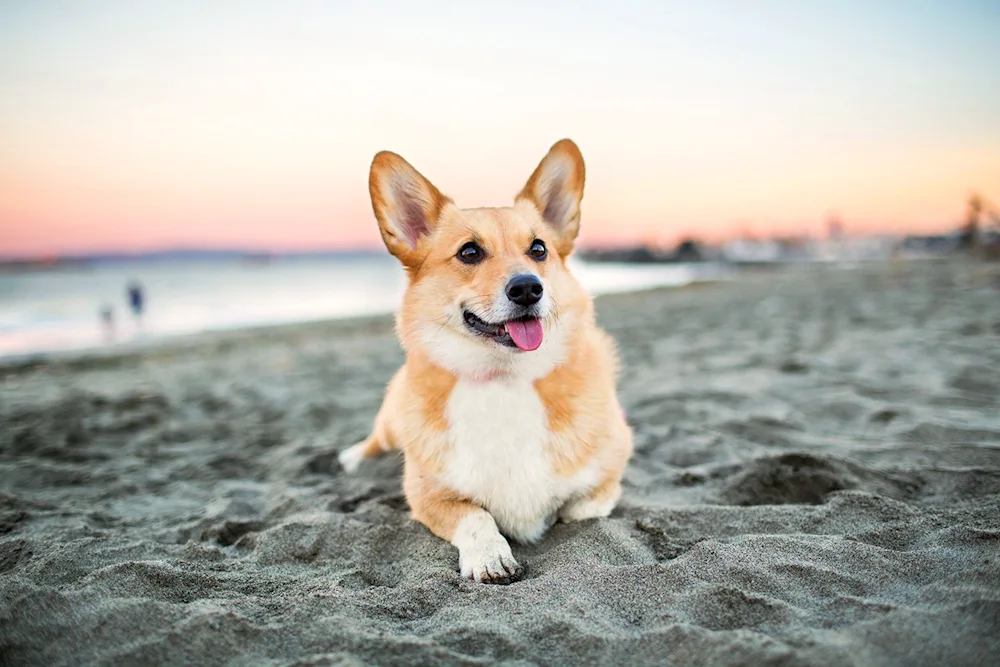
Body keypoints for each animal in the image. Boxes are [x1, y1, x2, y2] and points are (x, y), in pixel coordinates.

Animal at [336, 138, 632, 580]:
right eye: (470, 252)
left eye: (538, 249)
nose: (527, 288)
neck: (504, 379)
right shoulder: (427, 495)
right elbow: (475, 516)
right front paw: (490, 556)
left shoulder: (609, 472)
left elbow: (583, 509)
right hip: (391, 421)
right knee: (377, 437)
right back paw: (353, 457)